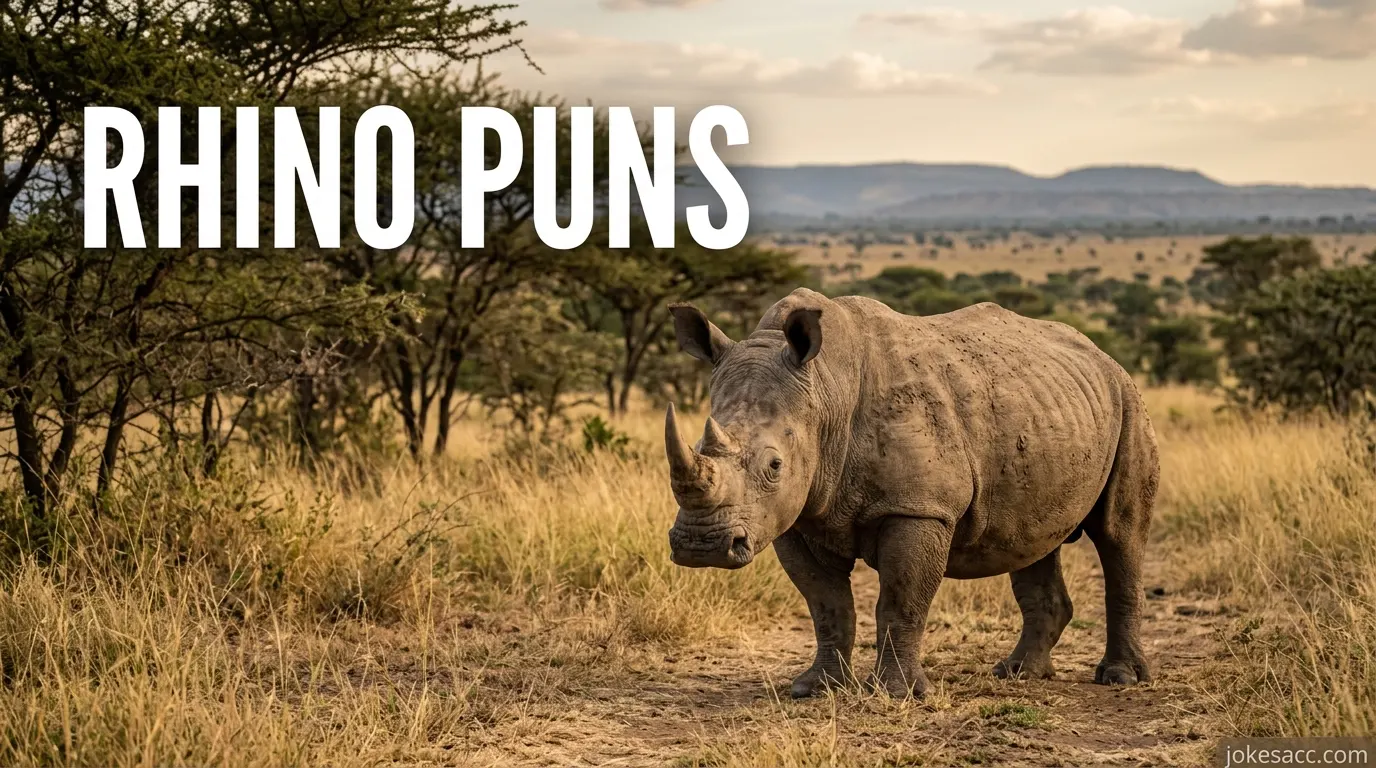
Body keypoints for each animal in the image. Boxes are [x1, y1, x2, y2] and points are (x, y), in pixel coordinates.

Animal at [663, 288, 1158, 699]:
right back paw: (1017, 673)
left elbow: (901, 599)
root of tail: (1101, 354)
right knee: (1031, 537)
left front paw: (897, 694)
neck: (824, 391)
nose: (701, 545)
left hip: (1129, 399)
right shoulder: (797, 516)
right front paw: (815, 688)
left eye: (774, 466)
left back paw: (1120, 678)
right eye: (698, 446)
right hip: (1045, 410)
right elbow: (826, 604)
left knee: (1120, 534)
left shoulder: (918, 508)